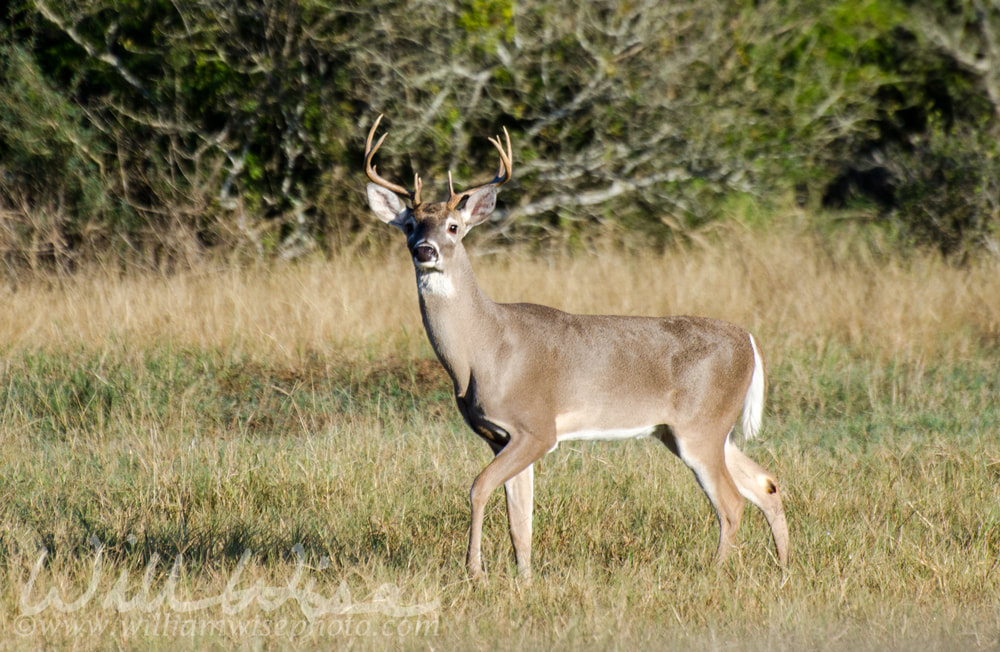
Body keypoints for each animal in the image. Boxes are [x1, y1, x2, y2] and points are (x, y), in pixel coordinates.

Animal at [362, 116, 788, 580]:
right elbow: (521, 520)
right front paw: (524, 580)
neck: (483, 350)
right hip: (690, 430)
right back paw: (784, 569)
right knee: (767, 483)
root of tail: (748, 340)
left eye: (454, 227)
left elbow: (478, 488)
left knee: (731, 504)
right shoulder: (500, 436)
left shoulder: (536, 426)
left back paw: (714, 572)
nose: (425, 250)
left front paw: (474, 571)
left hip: (701, 426)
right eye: (409, 225)